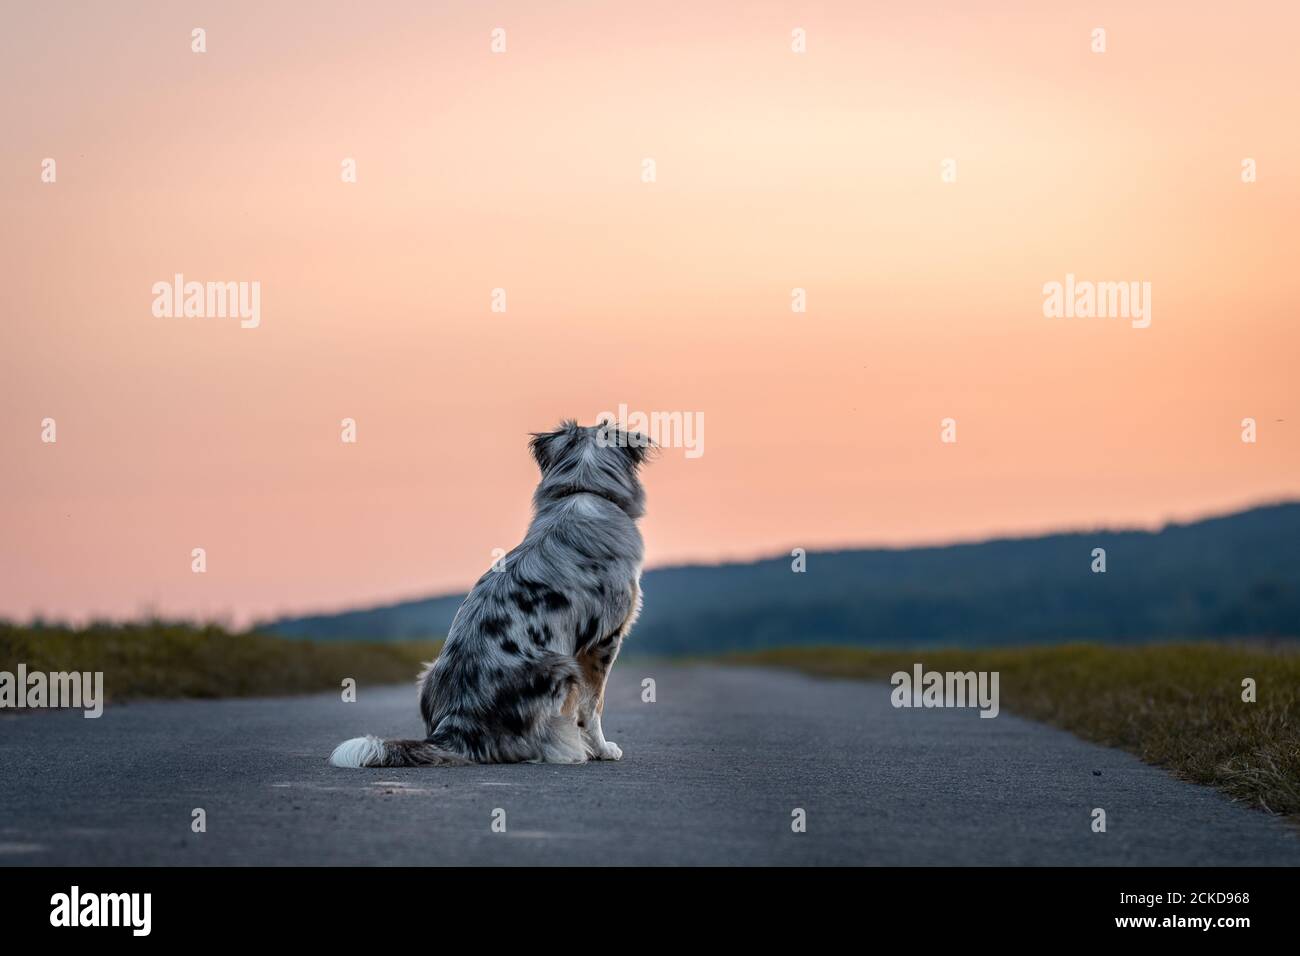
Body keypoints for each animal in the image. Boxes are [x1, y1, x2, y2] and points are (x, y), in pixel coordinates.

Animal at [325, 421, 650, 764]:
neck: (583, 490)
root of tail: (456, 725)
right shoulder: (604, 640)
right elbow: (593, 705)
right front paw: (603, 749)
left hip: (428, 673)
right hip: (561, 667)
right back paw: (569, 749)